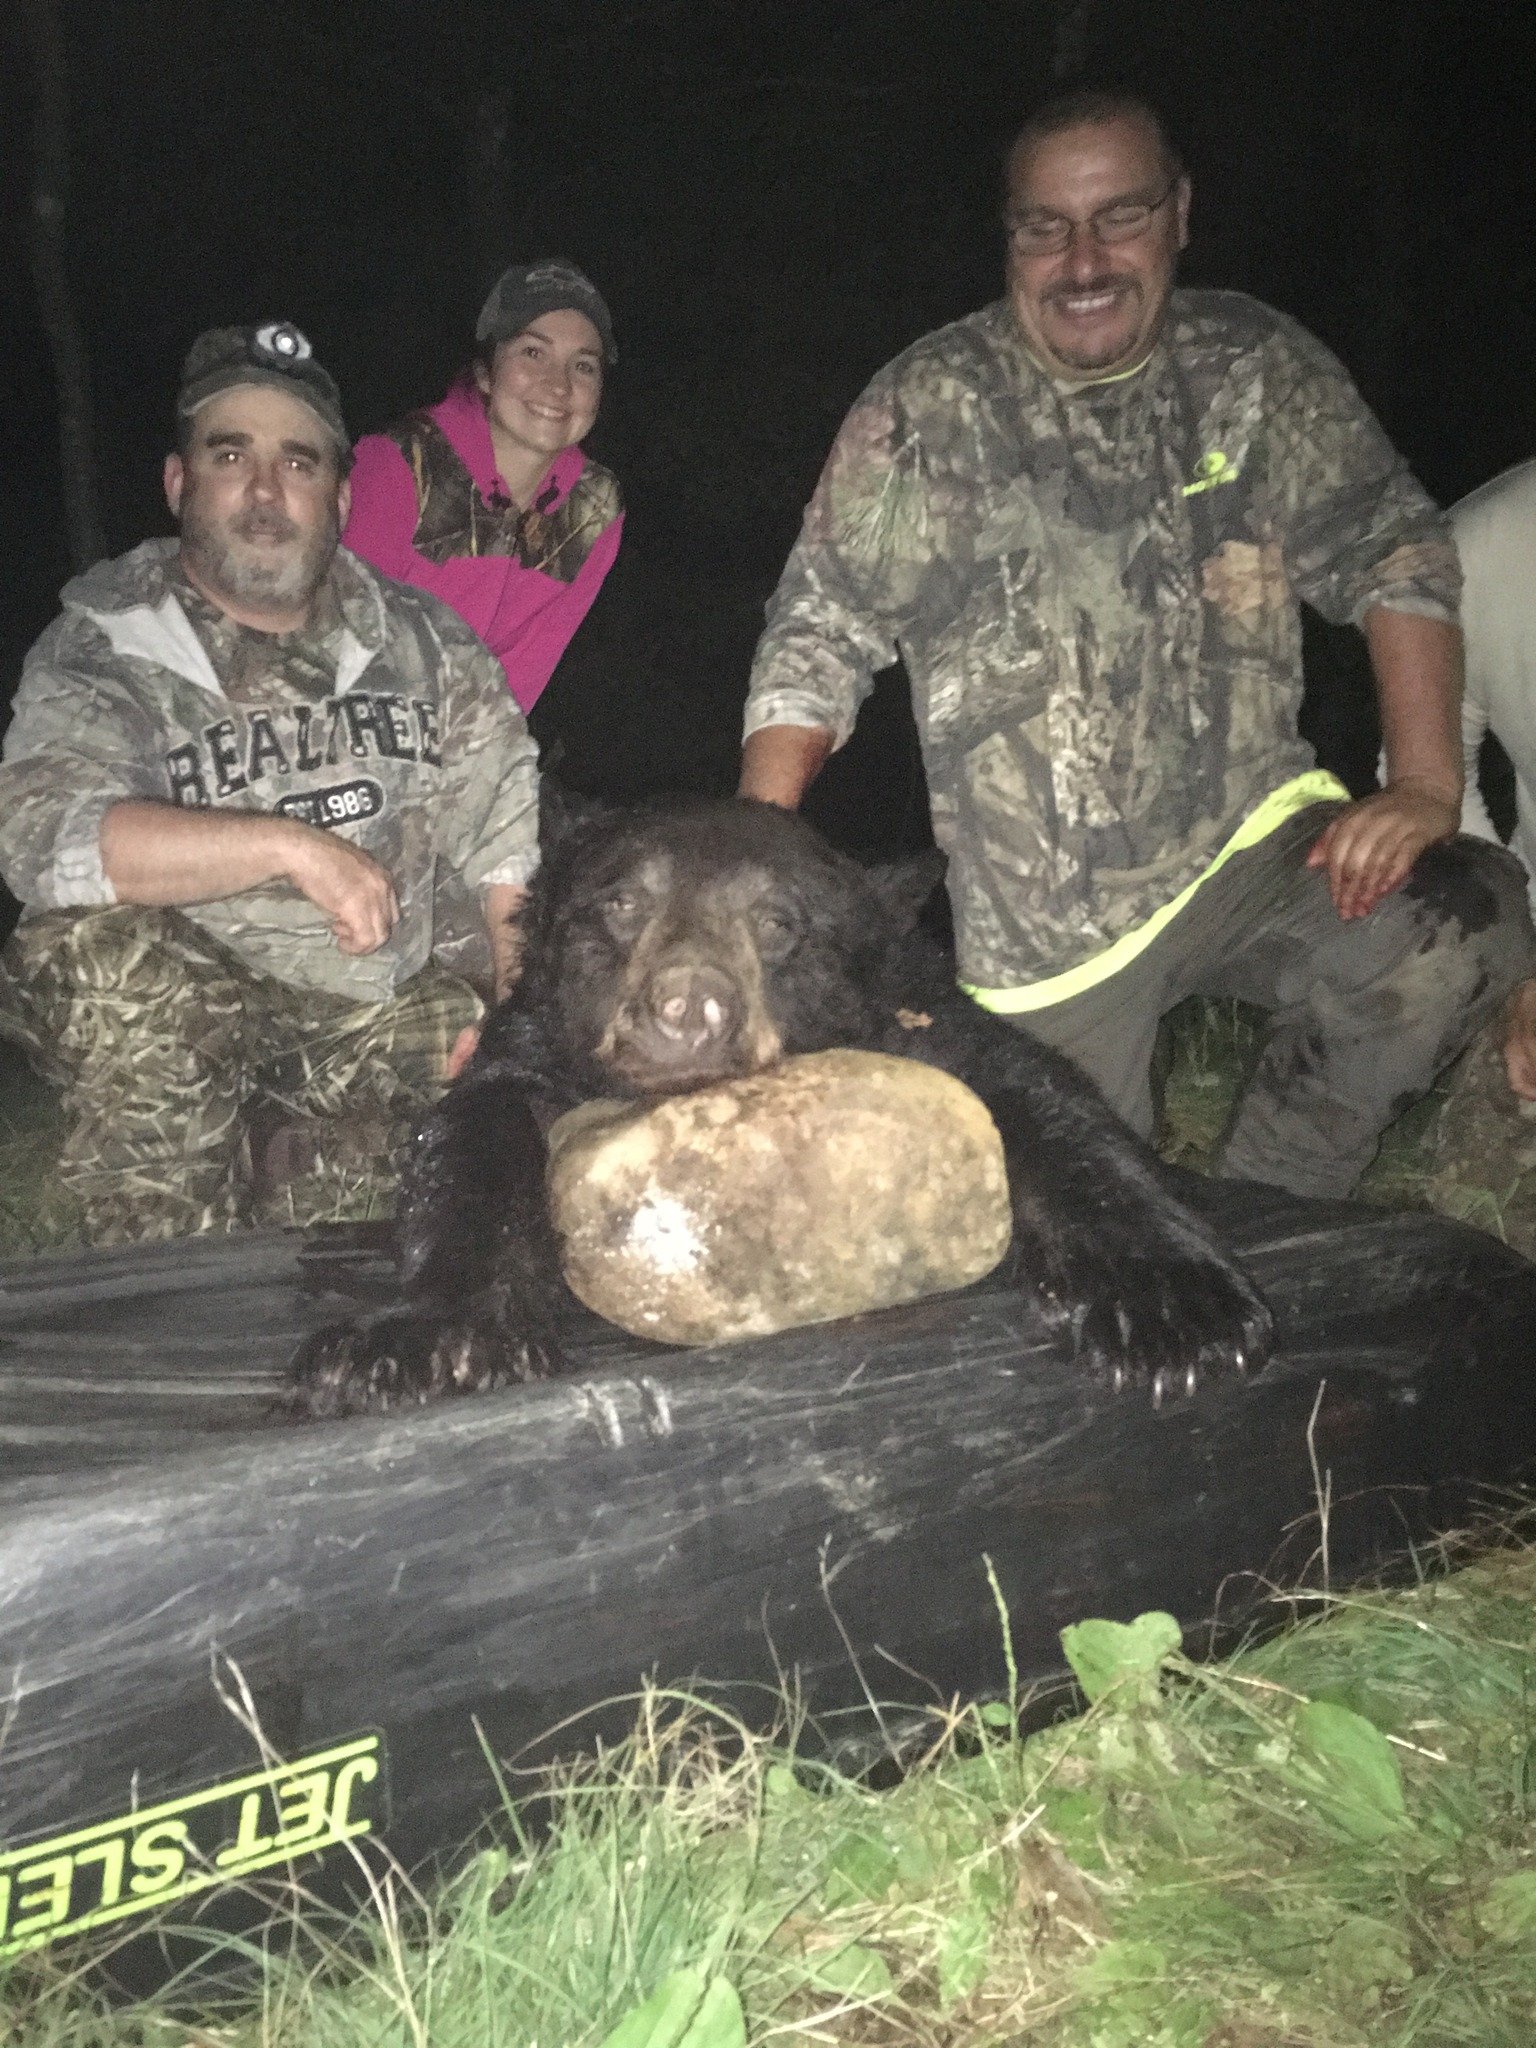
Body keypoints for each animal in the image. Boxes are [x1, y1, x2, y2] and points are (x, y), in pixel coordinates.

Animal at [288, 797, 1273, 1417]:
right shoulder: (532, 1055)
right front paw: (422, 1342)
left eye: (779, 923)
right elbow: (474, 1138)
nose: (687, 1004)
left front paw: (1173, 1310)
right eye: (622, 901)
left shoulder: (921, 1021)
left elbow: (1046, 1096)